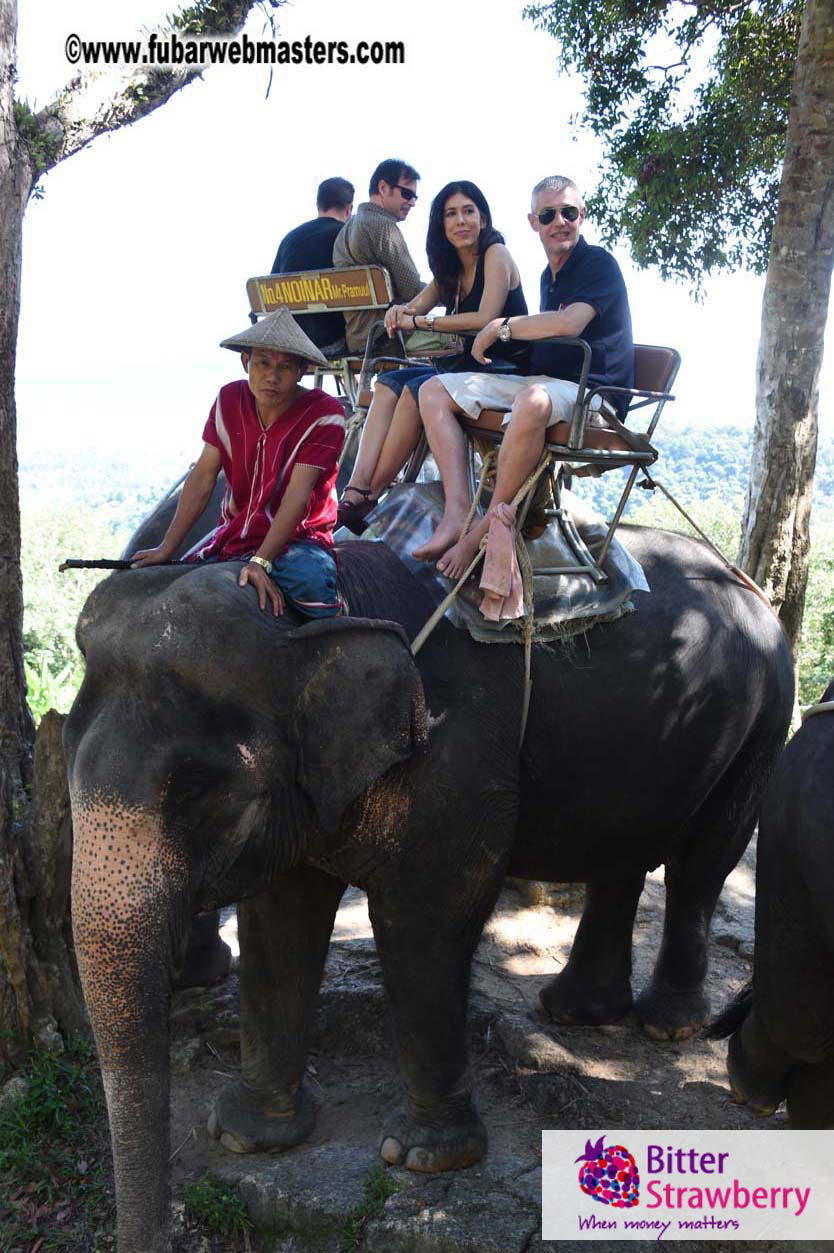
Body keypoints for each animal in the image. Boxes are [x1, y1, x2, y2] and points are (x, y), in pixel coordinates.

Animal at [64, 526, 794, 1252]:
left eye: (197, 793)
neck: (322, 616)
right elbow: (281, 916)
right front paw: (247, 1136)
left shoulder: (456, 755)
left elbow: (425, 919)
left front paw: (423, 1158)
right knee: (622, 855)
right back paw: (577, 1013)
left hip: (766, 722)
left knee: (703, 862)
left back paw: (667, 1025)